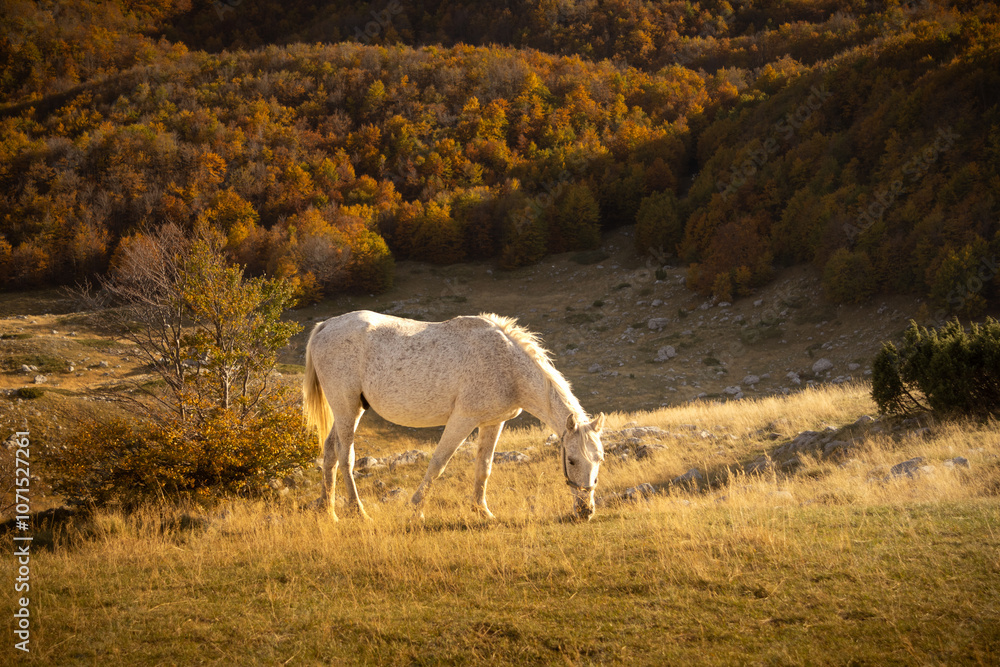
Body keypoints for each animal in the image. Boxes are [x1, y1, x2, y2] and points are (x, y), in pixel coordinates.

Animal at [302, 310, 605, 521]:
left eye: (599, 460)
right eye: (571, 460)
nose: (586, 511)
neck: (508, 366)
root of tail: (325, 325)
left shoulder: (493, 423)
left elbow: (484, 467)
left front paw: (482, 511)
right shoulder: (463, 420)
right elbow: (438, 464)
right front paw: (416, 511)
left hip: (349, 409)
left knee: (330, 452)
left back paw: (329, 512)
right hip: (346, 407)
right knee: (346, 456)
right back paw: (358, 512)